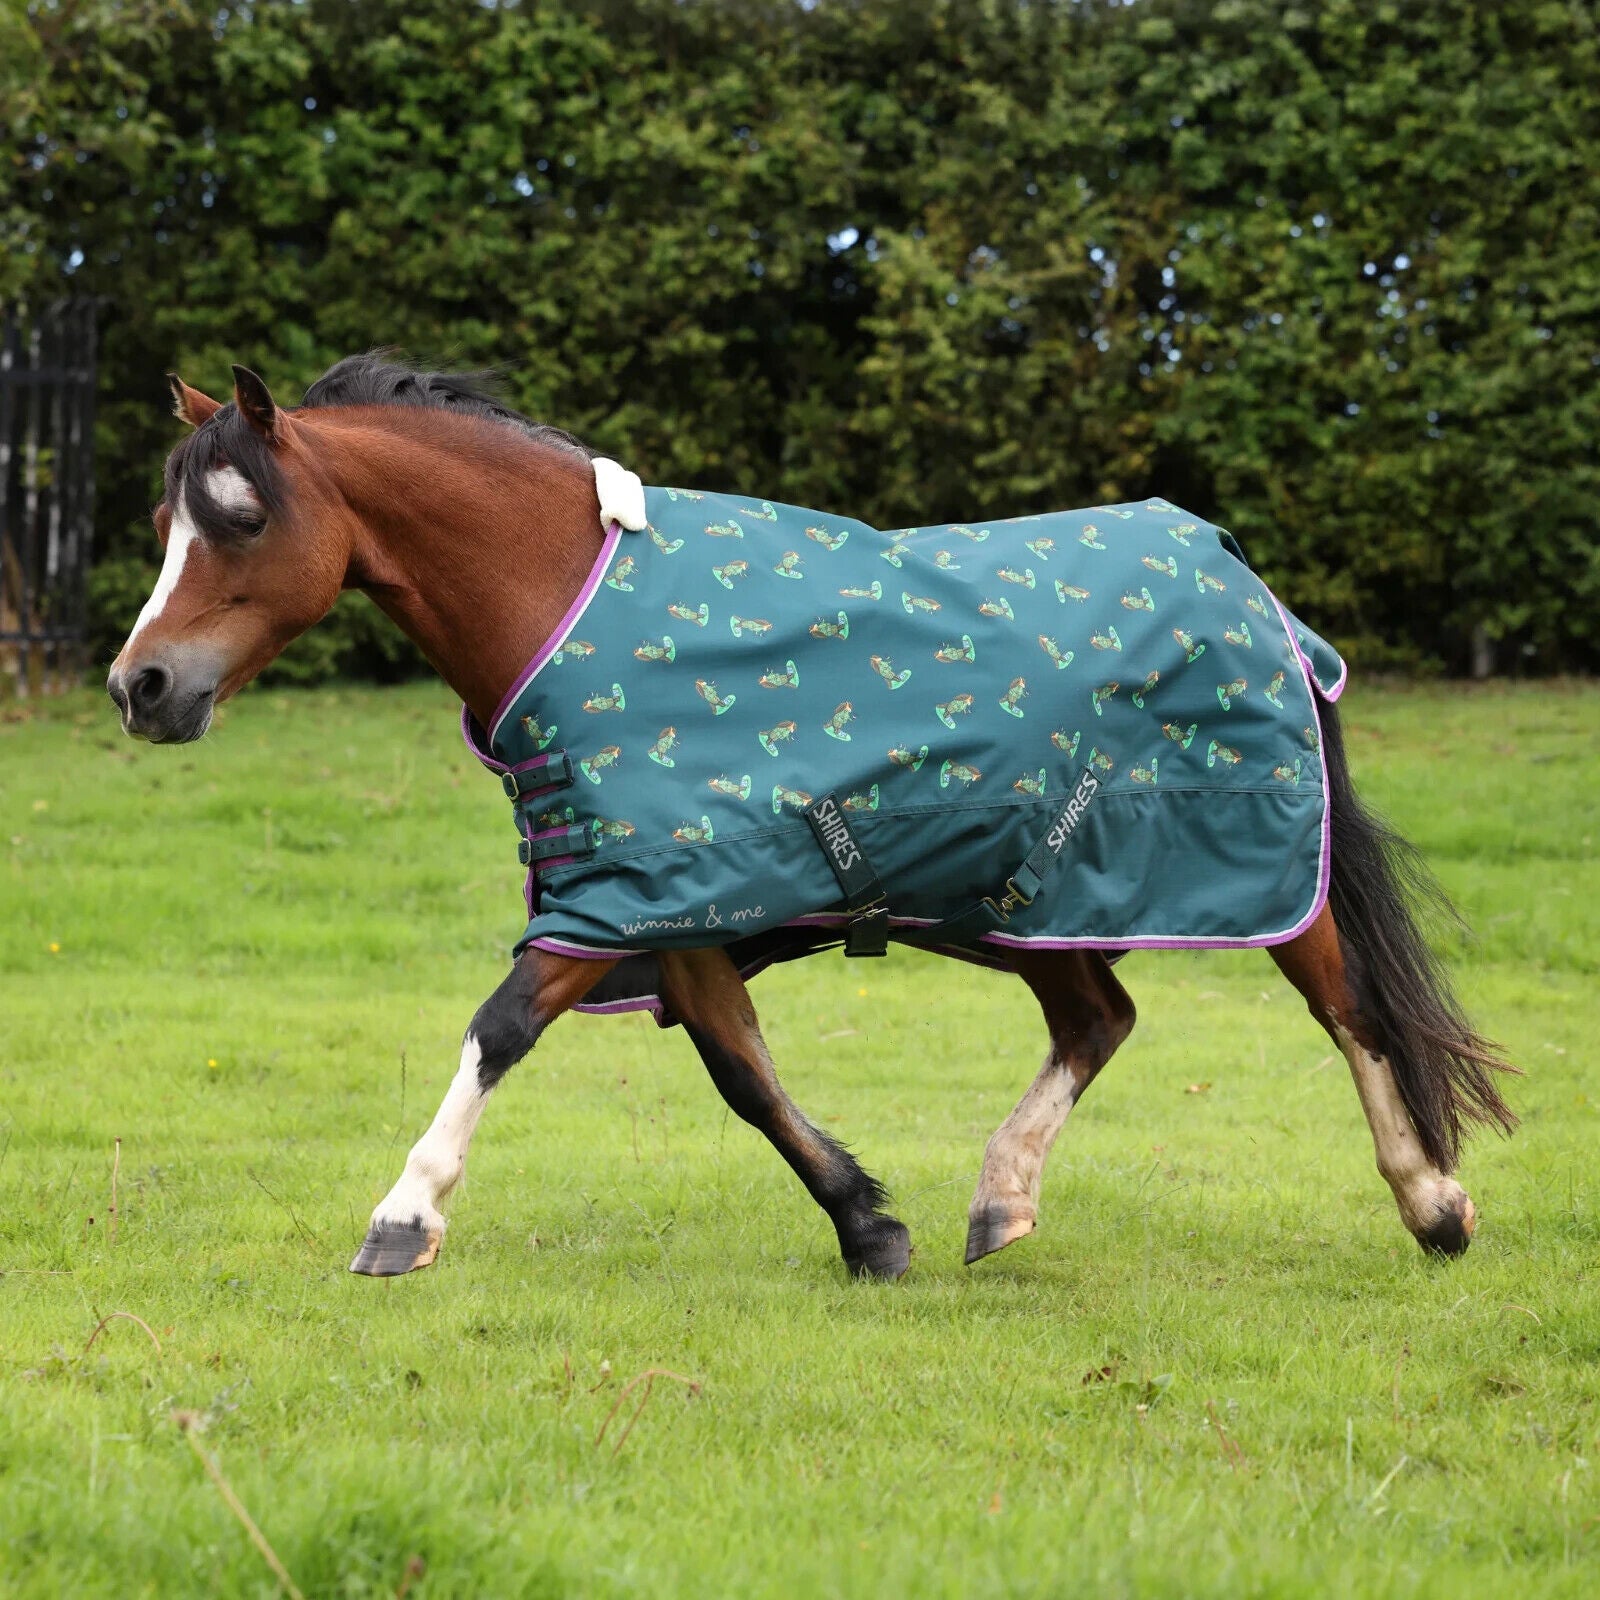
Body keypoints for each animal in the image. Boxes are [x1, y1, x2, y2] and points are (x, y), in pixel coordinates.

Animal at [107, 354, 1517, 1281]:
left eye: (241, 518)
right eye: (164, 520)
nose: (142, 686)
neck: (568, 593)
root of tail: (1242, 575)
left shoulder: (619, 900)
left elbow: (500, 1026)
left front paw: (404, 1216)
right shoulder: (675, 897)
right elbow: (740, 1070)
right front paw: (869, 1225)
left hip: (1248, 872)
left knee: (1348, 1010)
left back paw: (1433, 1205)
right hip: (1023, 895)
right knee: (1099, 1018)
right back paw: (1001, 1199)